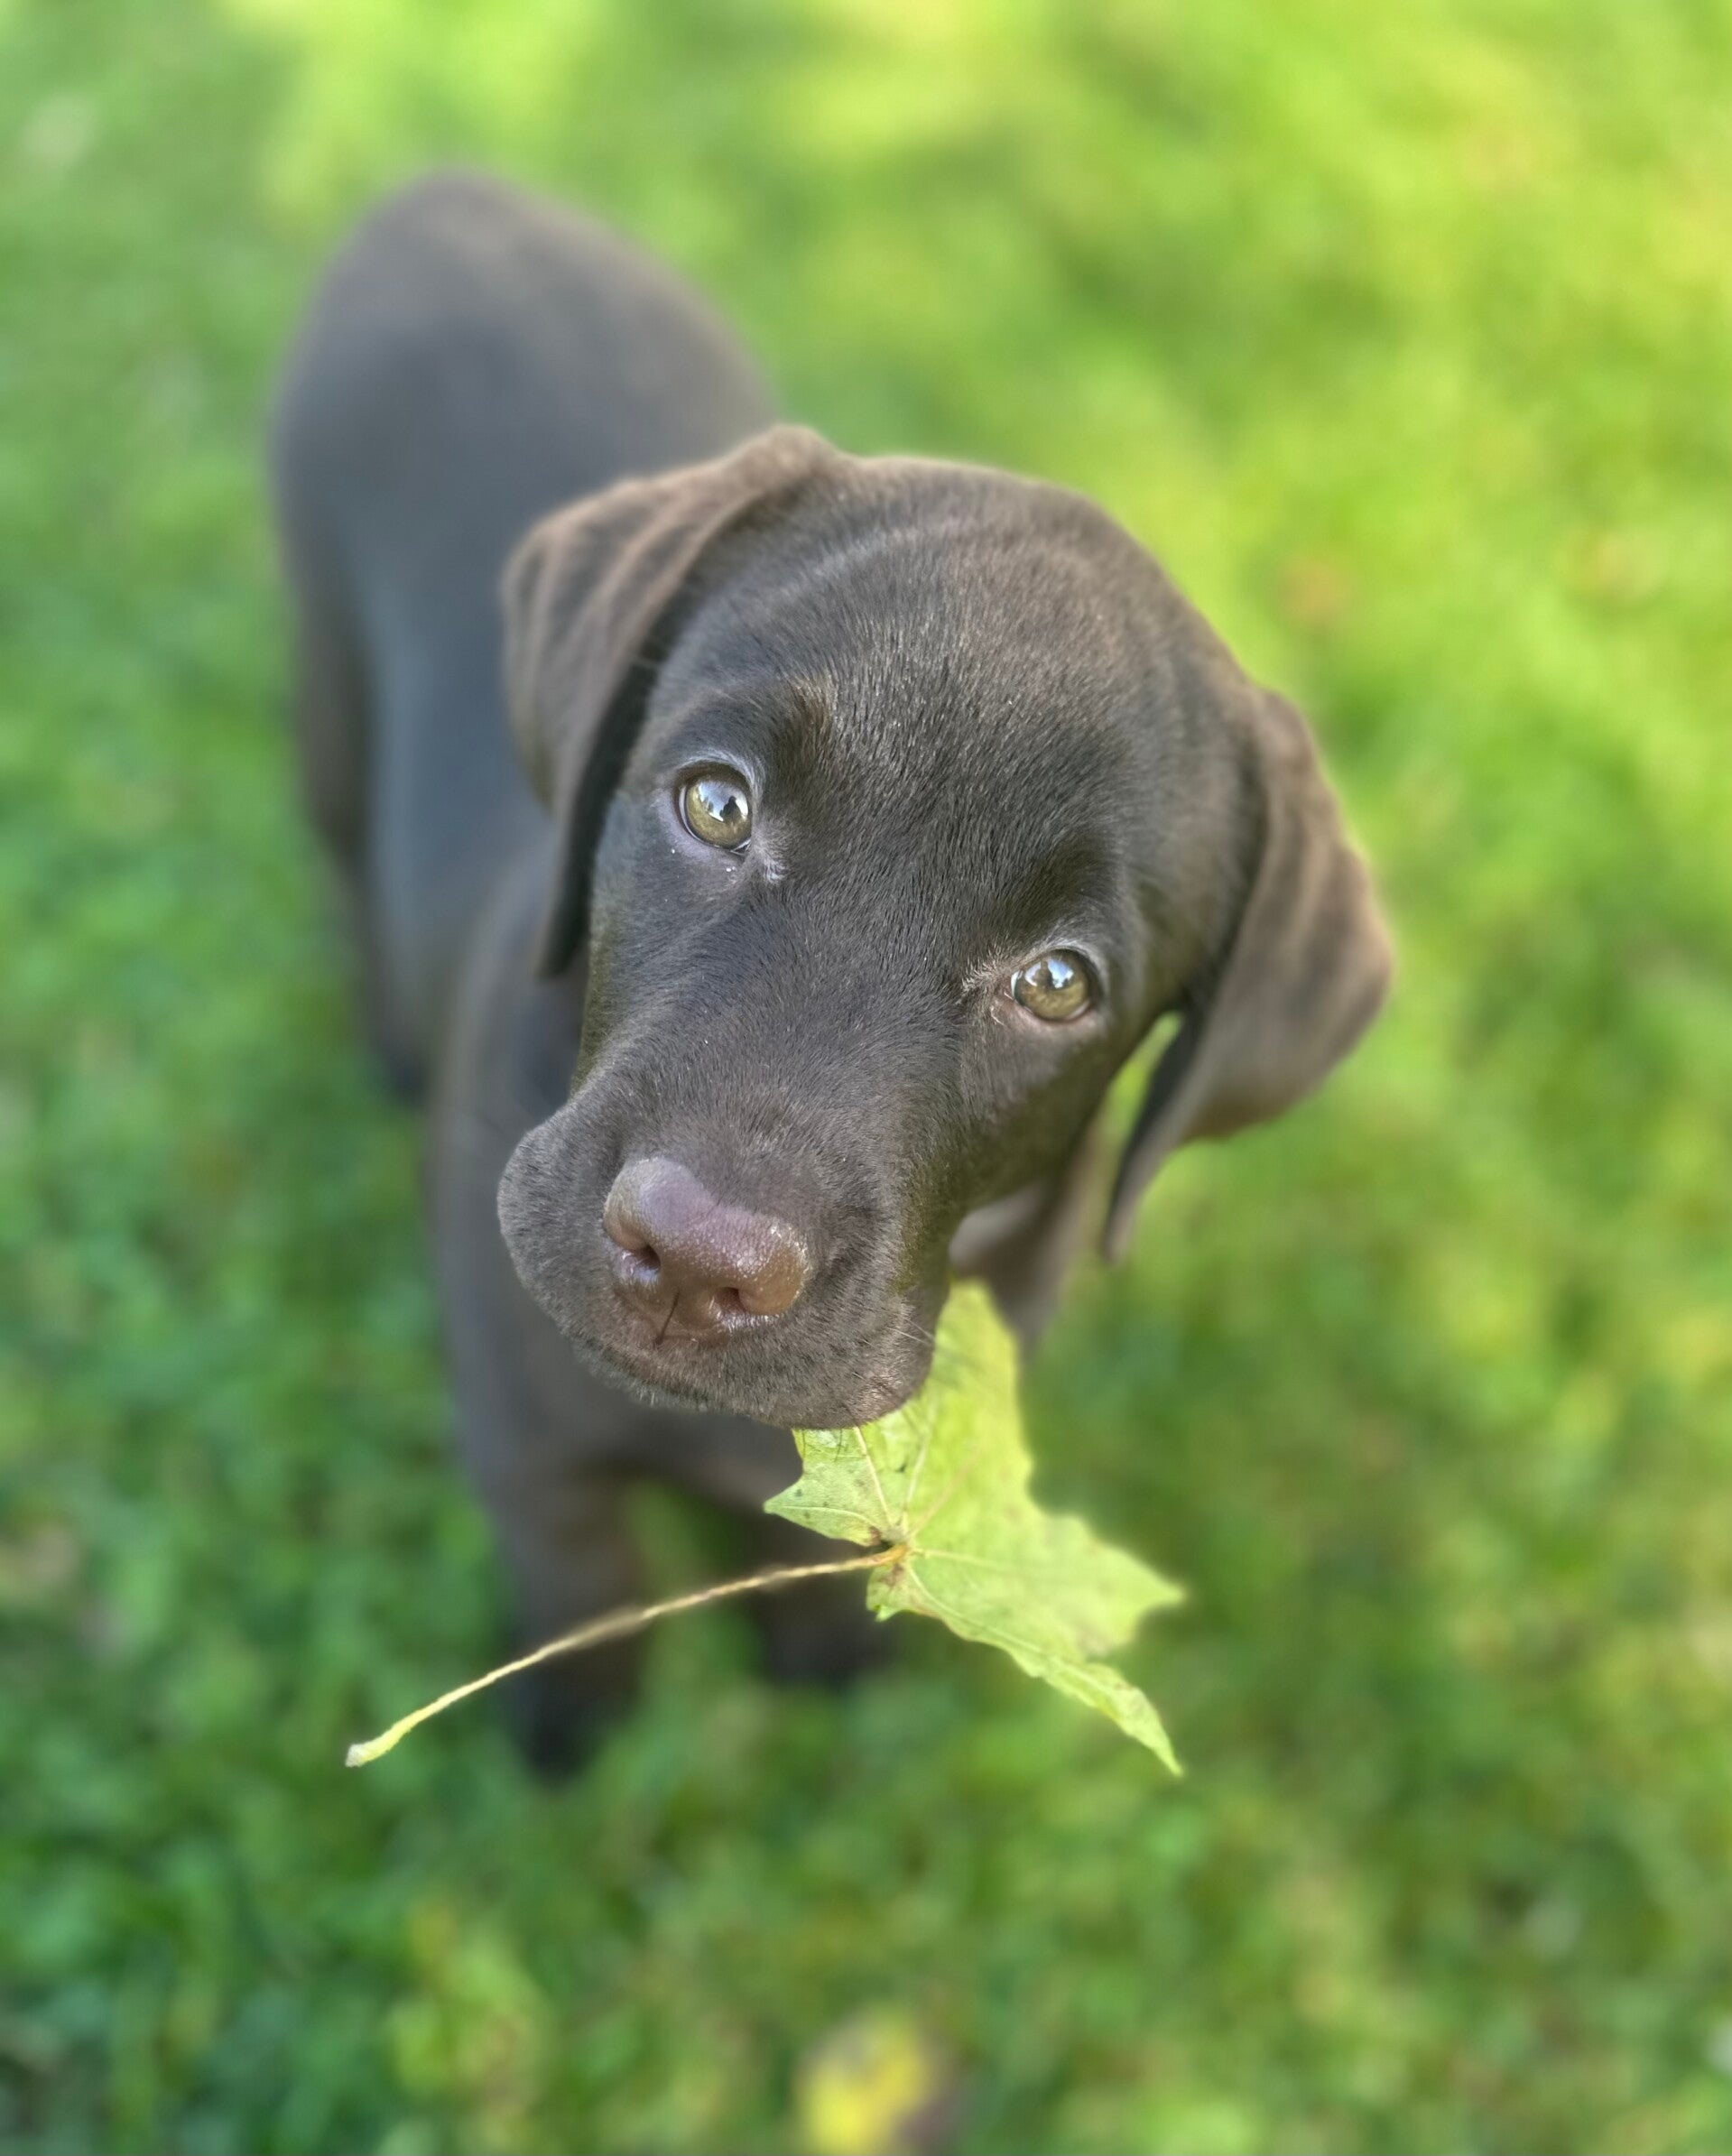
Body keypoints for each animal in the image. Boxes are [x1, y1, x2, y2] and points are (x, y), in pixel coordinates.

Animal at [270, 171, 1390, 1771]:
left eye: (1057, 985)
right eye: (713, 804)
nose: (696, 1261)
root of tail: (453, 192)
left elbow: (815, 1551)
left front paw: (822, 1655)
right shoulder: (519, 1419)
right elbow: (576, 1569)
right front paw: (571, 1724)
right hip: (326, 681)